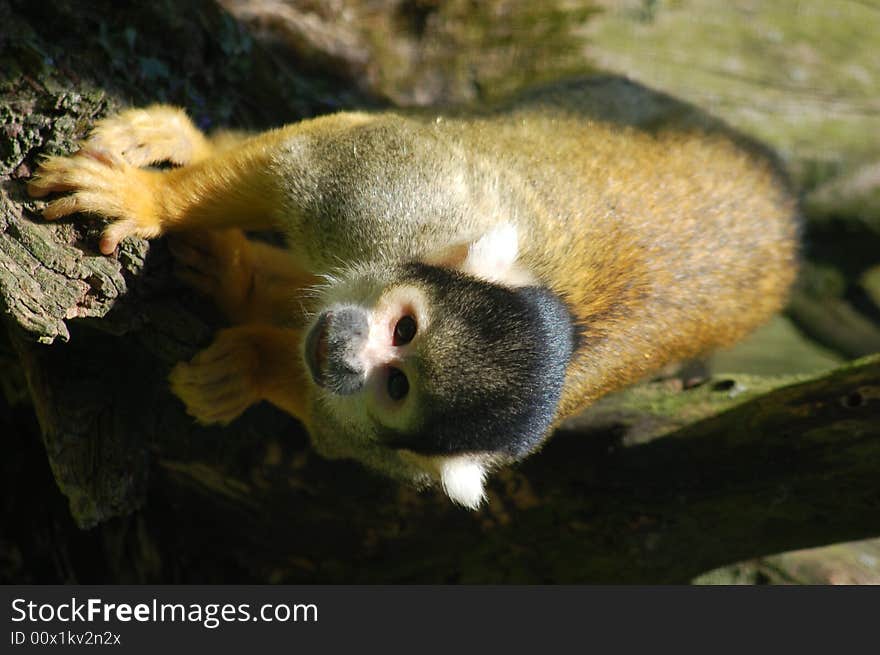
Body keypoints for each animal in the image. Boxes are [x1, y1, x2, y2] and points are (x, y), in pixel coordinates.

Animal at [27, 77, 800, 508]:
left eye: (395, 385)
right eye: (405, 329)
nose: (342, 350)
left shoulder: (394, 455)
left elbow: (326, 422)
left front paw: (249, 361)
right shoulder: (402, 204)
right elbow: (305, 160)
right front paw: (152, 201)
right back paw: (189, 145)